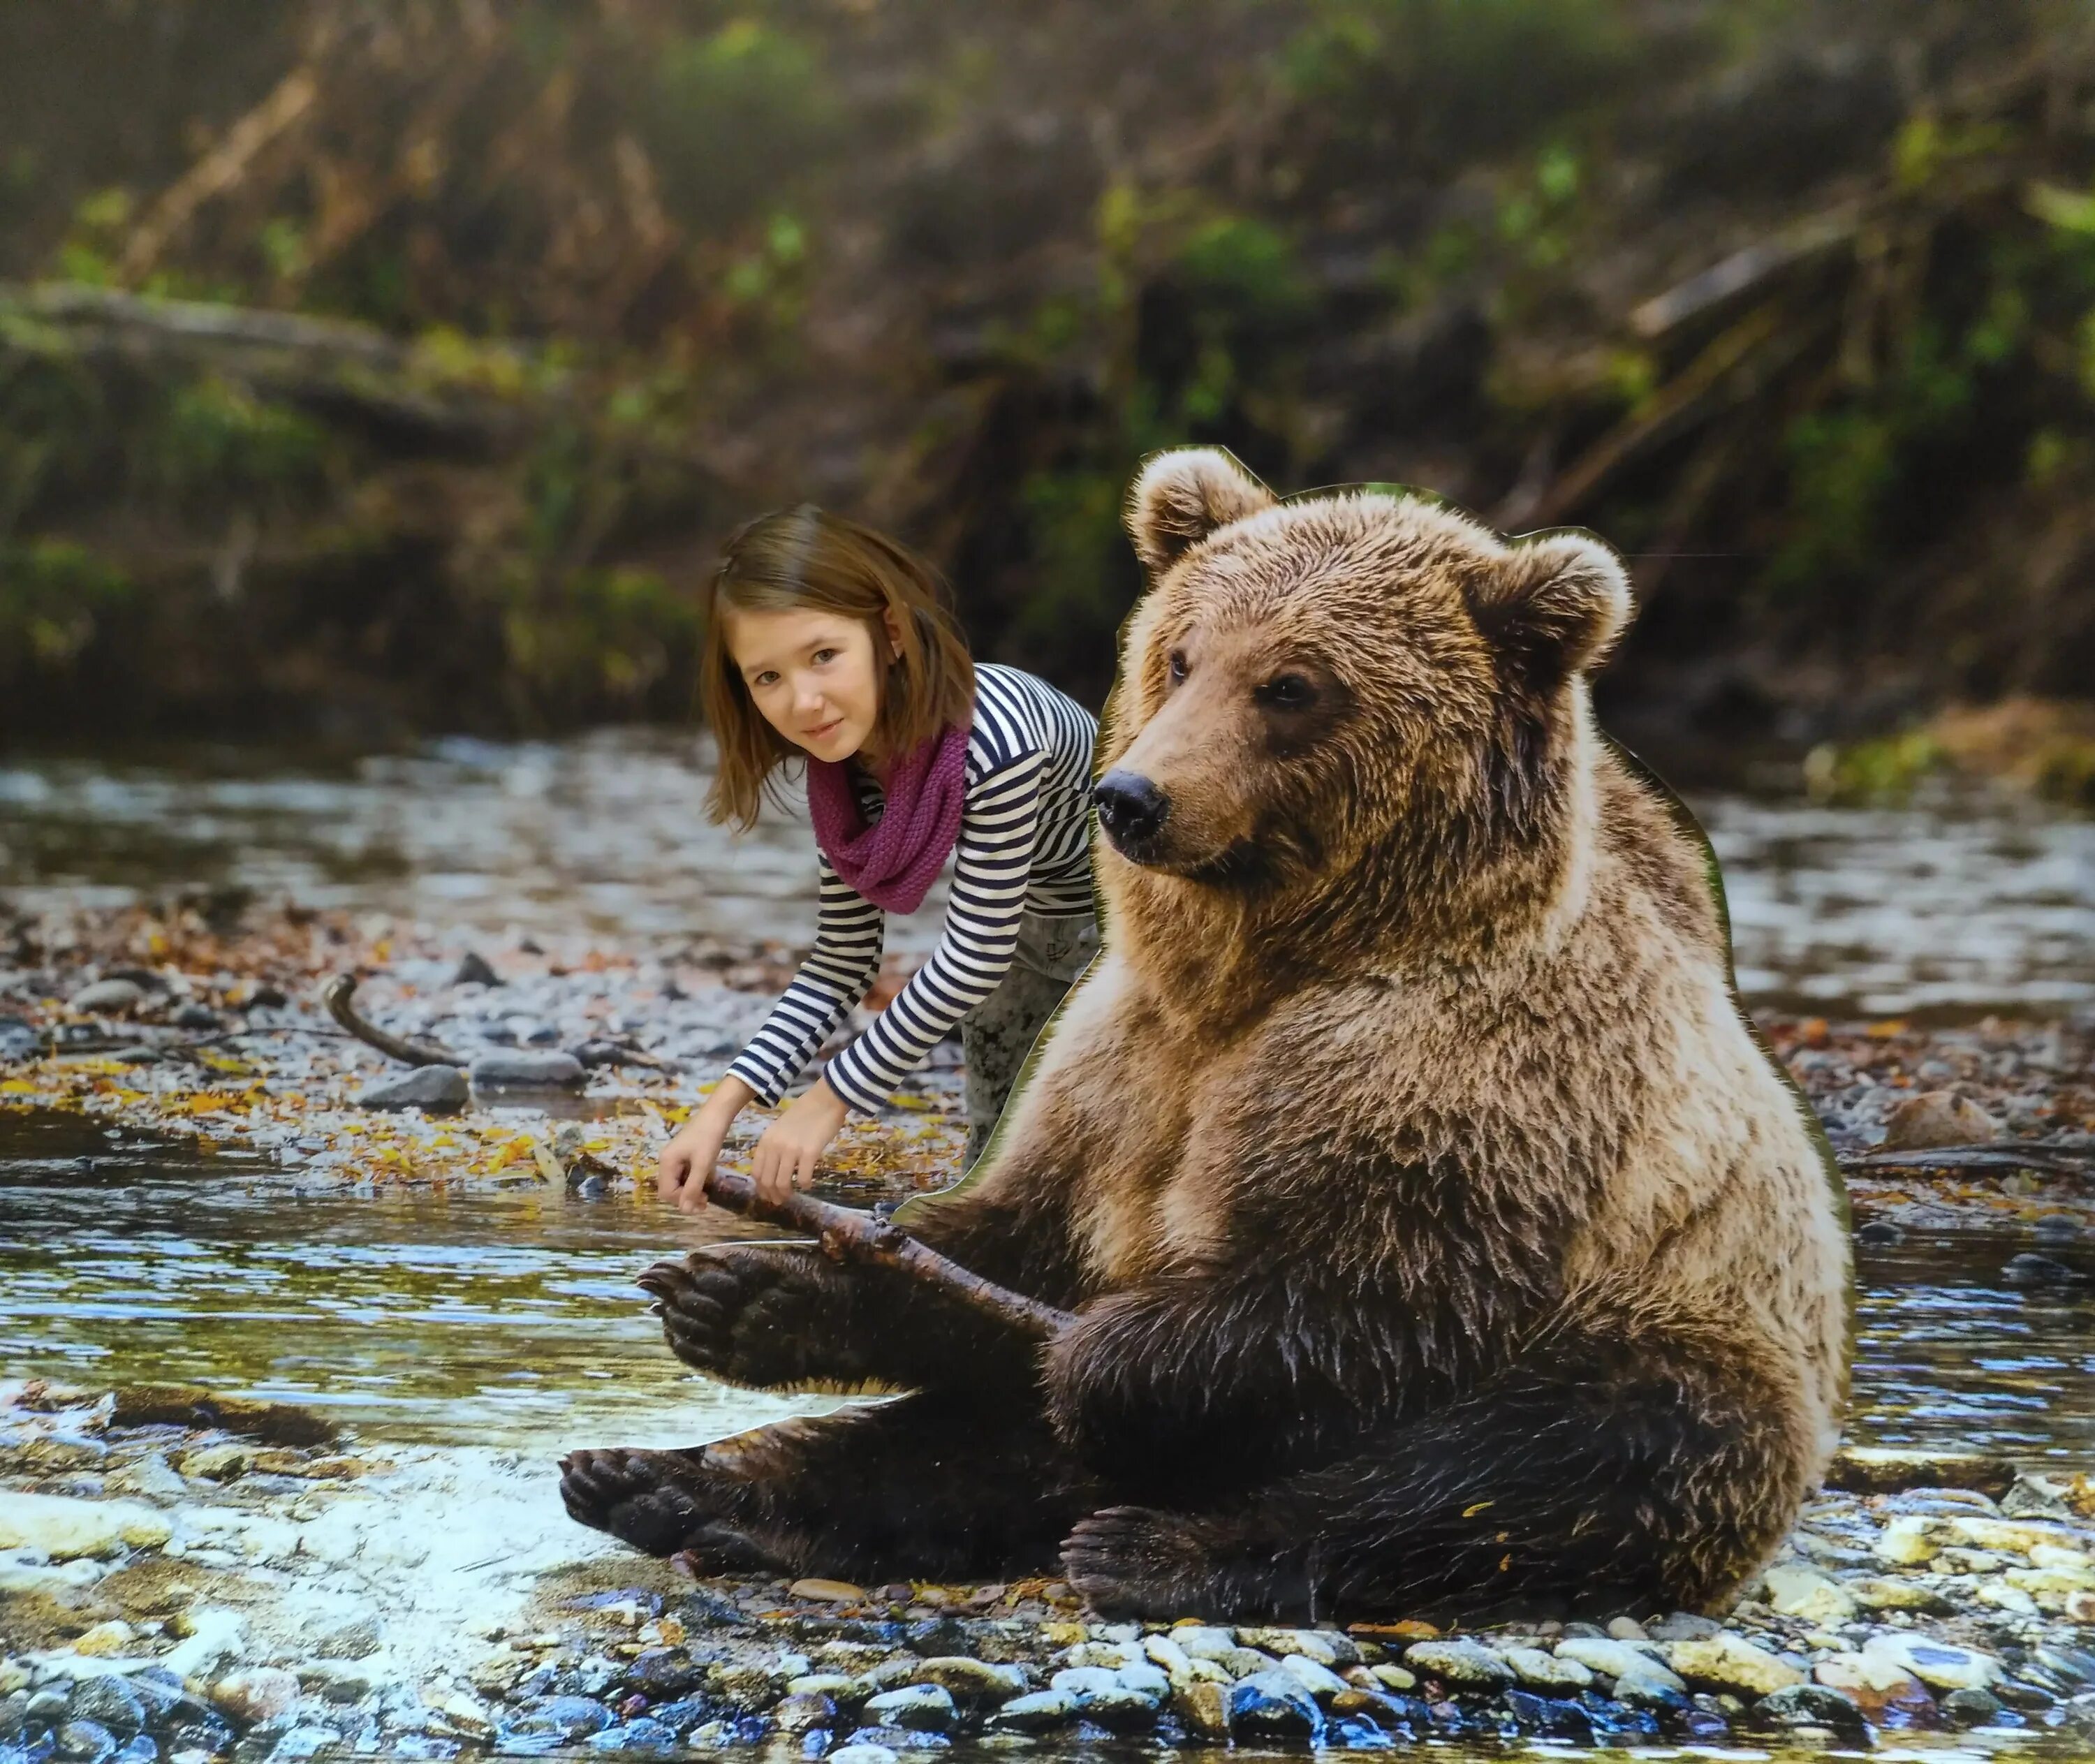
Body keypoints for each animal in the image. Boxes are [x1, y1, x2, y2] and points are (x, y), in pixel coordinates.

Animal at [561, 446, 1852, 1617]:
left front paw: (1102, 1351)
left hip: (1689, 1336)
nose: (1133, 797)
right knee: (949, 1447)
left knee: (1544, 1464)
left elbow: (1368, 1296)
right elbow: (1010, 1240)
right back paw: (665, 1483)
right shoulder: (1124, 1057)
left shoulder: (1464, 1073)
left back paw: (1161, 1545)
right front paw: (742, 1291)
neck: (1262, 967)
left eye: (1292, 683)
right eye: (1180, 654)